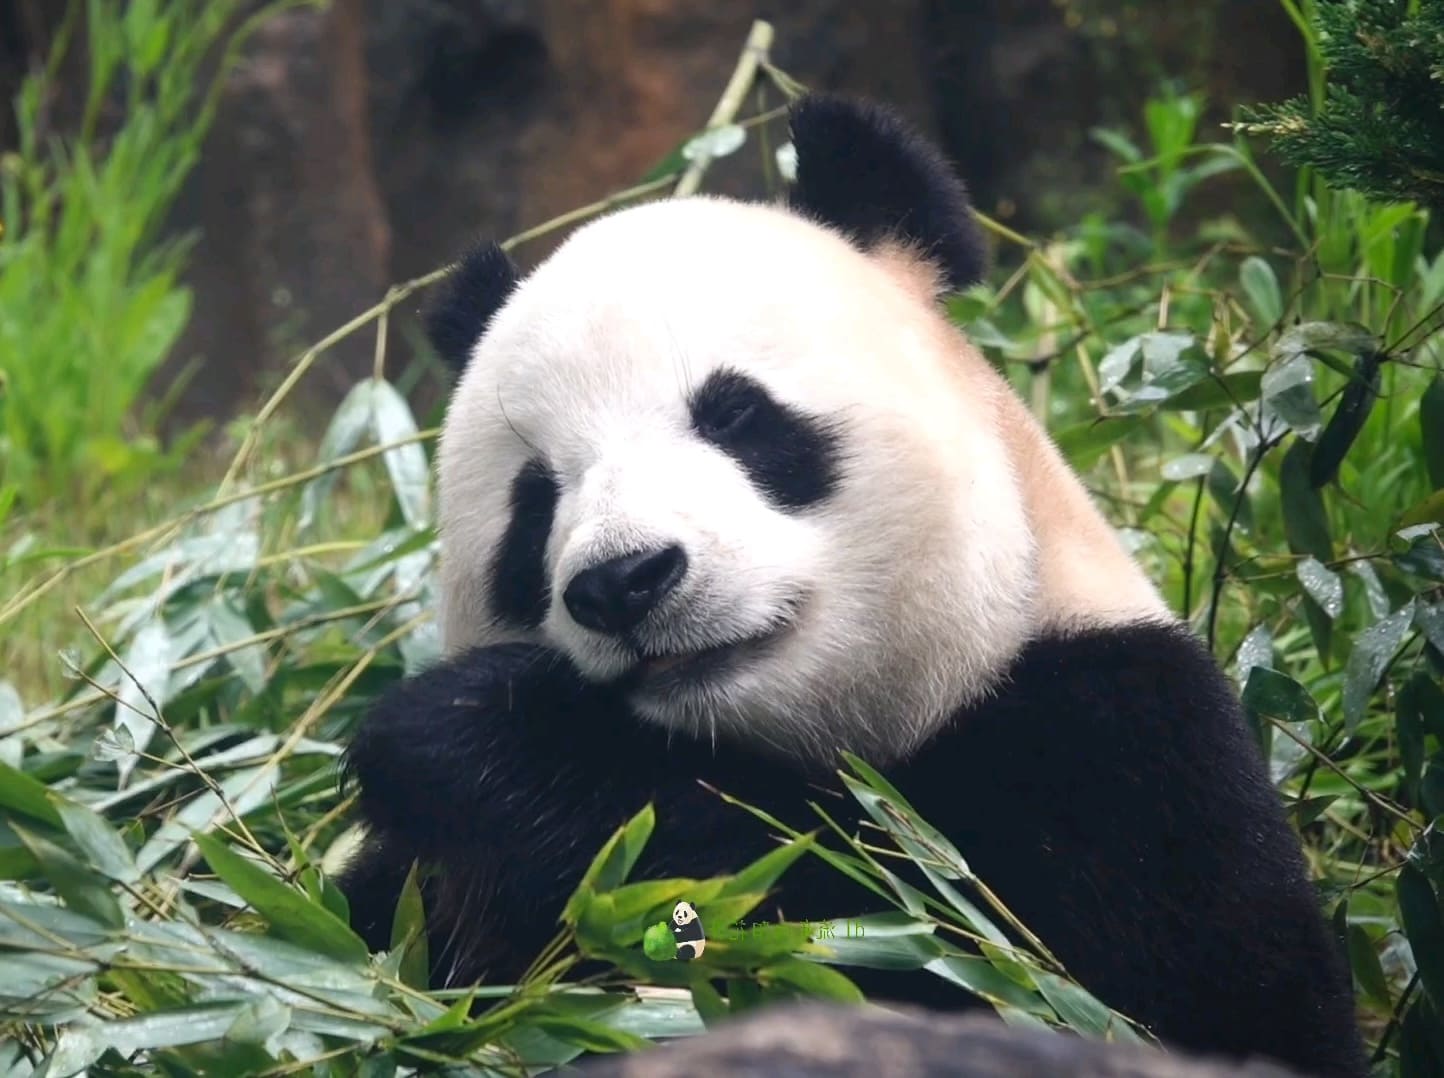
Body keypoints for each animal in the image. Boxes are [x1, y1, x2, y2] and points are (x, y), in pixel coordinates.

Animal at [339, 95, 1365, 1077]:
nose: (625, 581)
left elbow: (969, 959)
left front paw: (479, 735)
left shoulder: (1125, 748)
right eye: (537, 498)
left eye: (735, 416)